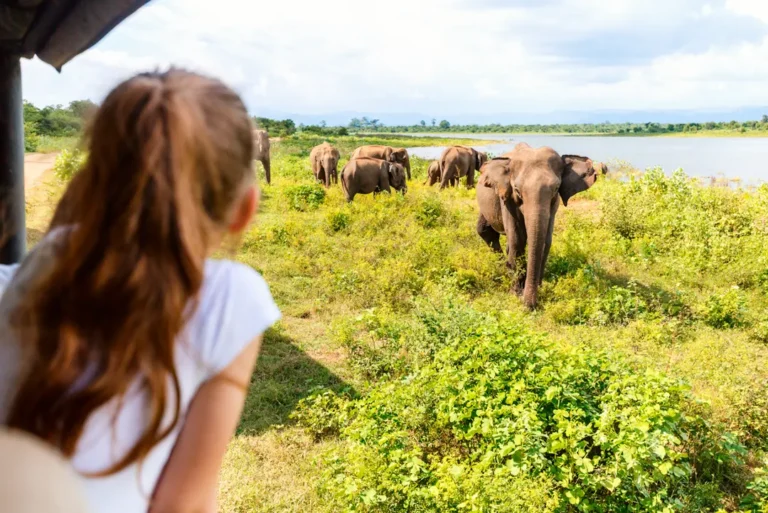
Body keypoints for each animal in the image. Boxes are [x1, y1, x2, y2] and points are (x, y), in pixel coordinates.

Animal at [476, 145, 599, 309]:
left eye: (556, 188)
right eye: (517, 190)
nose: (530, 306)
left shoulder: (554, 204)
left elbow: (546, 241)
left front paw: (537, 289)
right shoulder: (506, 198)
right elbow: (517, 240)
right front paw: (516, 293)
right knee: (485, 231)